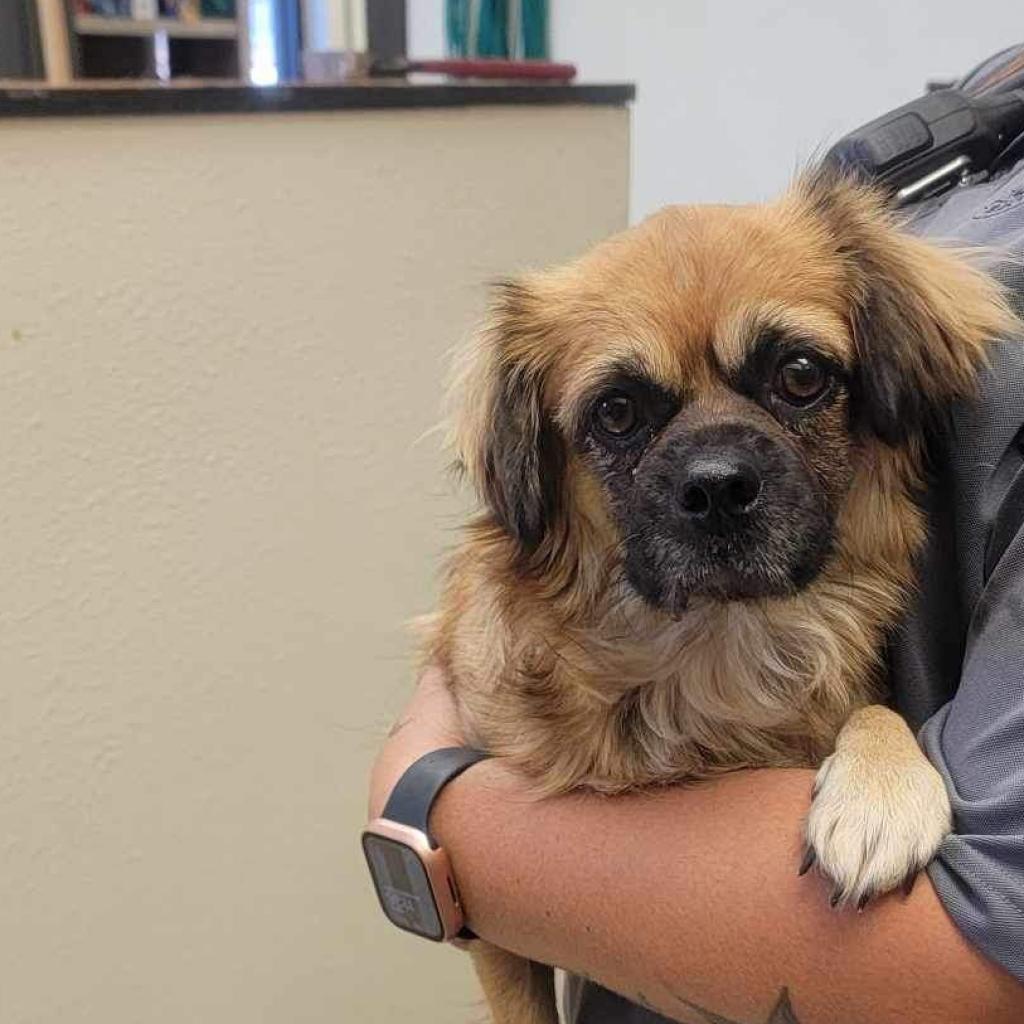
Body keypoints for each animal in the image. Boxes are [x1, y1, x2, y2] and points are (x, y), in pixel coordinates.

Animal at [417, 167, 1015, 1024]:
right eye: (618, 411)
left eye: (800, 375)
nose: (718, 486)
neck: (716, 643)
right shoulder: (496, 932)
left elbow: (873, 713)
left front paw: (881, 793)